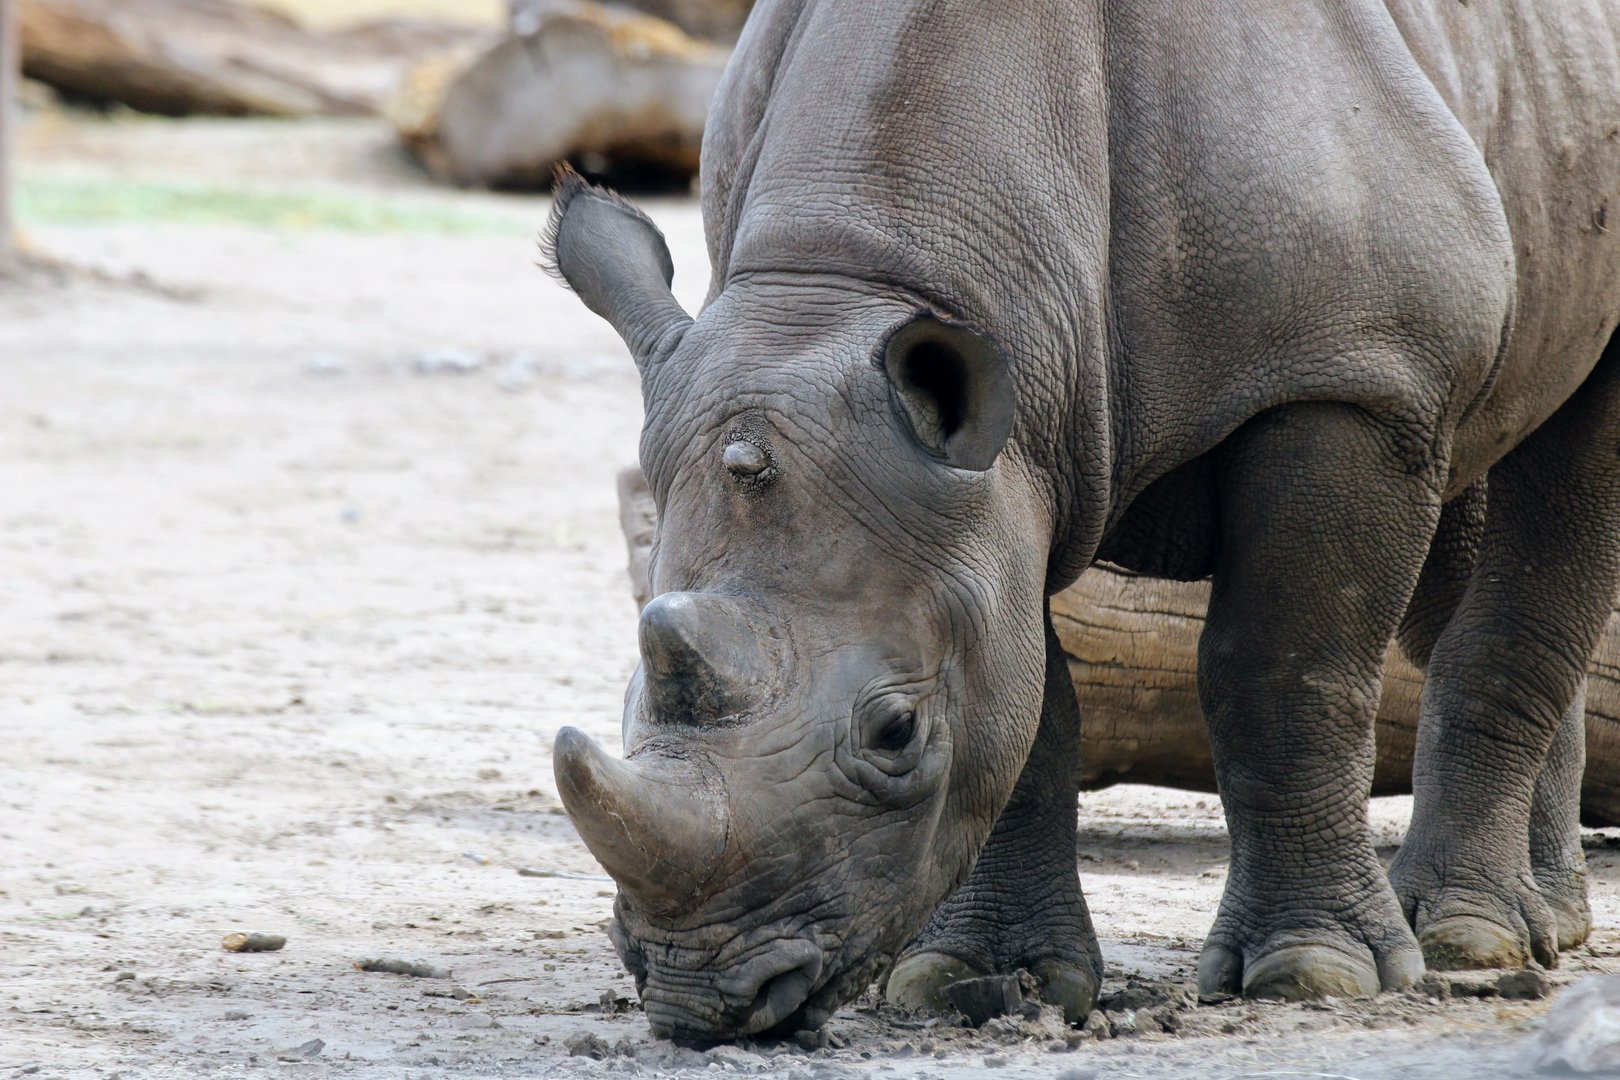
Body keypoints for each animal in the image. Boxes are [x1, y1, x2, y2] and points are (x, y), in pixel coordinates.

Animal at [543, 0, 1620, 1041]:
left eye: (896, 732)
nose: (701, 999)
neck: (859, 276)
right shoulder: (1009, 466)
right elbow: (1029, 714)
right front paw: (979, 977)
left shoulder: (1349, 372)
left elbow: (1283, 674)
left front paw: (1315, 973)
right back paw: (1539, 922)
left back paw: (1468, 939)